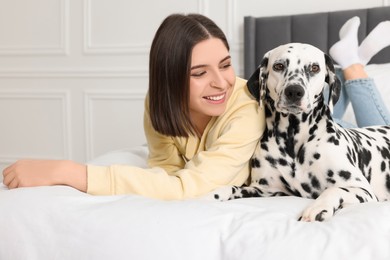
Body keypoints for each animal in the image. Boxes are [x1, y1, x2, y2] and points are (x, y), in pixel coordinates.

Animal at [212, 42, 390, 221]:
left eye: (314, 68)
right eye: (278, 66)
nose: (294, 91)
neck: (293, 140)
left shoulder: (361, 189)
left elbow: (334, 190)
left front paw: (318, 208)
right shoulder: (265, 190)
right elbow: (233, 188)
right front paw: (214, 195)